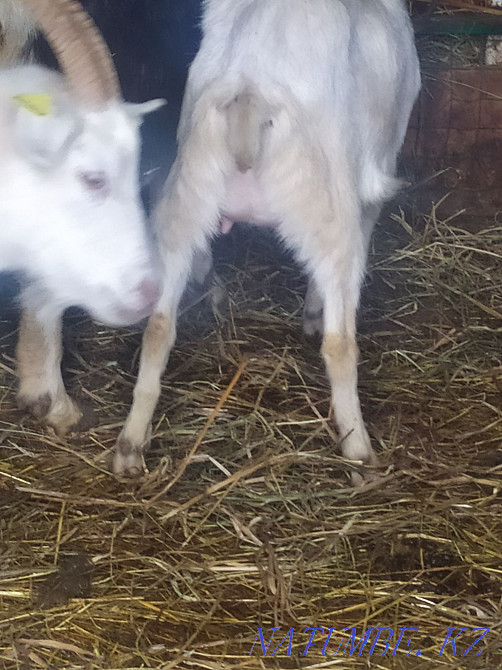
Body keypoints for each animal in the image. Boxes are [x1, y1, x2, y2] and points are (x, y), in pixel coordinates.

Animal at [113, 0, 421, 482]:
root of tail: (249, 92)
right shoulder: (372, 181)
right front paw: (313, 312)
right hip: (327, 209)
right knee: (339, 344)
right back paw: (360, 455)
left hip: (186, 199)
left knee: (159, 326)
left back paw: (130, 445)